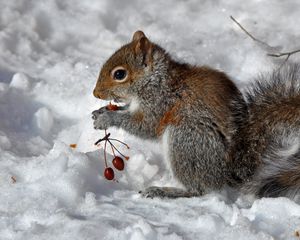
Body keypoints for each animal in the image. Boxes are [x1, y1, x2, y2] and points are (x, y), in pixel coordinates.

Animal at [91, 30, 300, 199]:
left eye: (119, 74)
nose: (96, 94)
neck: (156, 79)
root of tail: (226, 173)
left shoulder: (160, 103)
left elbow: (144, 126)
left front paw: (107, 118)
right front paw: (100, 112)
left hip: (185, 140)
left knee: (198, 190)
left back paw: (165, 191)